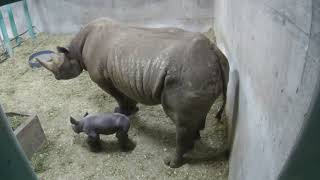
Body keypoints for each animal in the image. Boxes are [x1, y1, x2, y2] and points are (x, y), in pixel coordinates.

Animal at [38, 17, 229, 168]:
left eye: (59, 66)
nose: (56, 77)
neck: (76, 49)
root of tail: (215, 53)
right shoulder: (120, 74)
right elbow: (125, 94)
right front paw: (132, 109)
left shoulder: (101, 78)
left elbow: (118, 96)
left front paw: (122, 111)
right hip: (201, 74)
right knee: (195, 118)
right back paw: (193, 142)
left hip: (191, 75)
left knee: (181, 121)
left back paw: (171, 162)